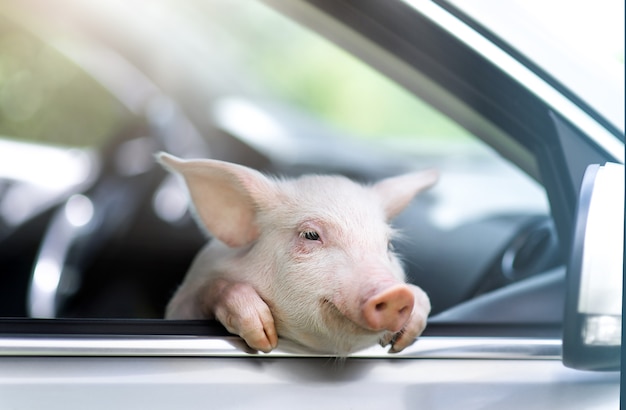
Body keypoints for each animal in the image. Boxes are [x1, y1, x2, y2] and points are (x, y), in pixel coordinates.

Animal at [158, 151, 436, 356]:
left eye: (388, 245)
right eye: (310, 235)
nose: (396, 293)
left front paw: (401, 339)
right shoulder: (184, 302)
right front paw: (264, 337)